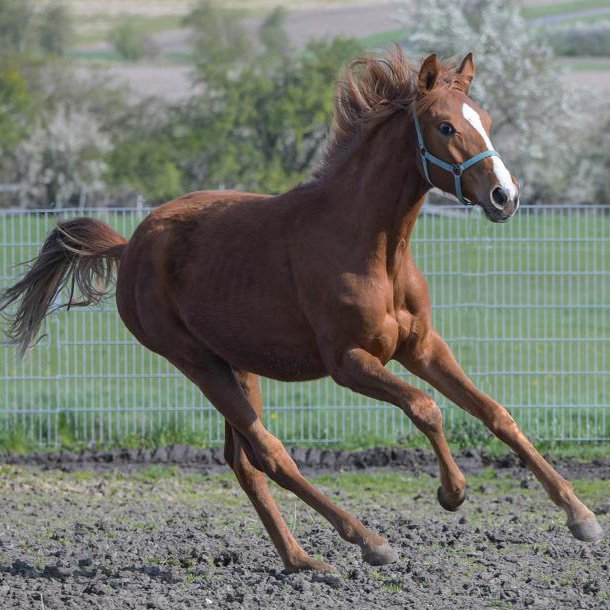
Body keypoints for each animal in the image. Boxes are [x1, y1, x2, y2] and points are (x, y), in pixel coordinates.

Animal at [0, 50, 600, 568]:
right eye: (446, 127)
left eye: (487, 119)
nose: (505, 197)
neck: (373, 247)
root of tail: (130, 247)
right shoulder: (349, 362)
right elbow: (425, 407)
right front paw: (452, 492)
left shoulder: (422, 347)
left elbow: (496, 413)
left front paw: (581, 516)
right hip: (197, 363)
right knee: (270, 453)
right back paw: (367, 541)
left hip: (238, 365)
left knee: (244, 461)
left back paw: (302, 561)